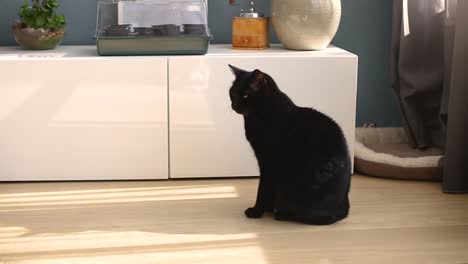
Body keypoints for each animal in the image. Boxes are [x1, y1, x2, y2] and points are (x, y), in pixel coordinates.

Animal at [227, 64, 352, 225]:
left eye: (245, 95)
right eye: (232, 93)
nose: (233, 104)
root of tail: (344, 210)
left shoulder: (268, 163)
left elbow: (263, 190)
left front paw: (256, 211)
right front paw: (266, 208)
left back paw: (281, 213)